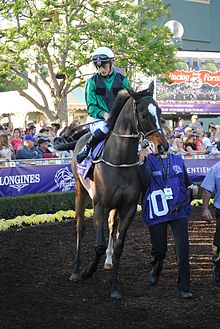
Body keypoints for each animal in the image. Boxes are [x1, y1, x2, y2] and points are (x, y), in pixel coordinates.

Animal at [53, 81, 168, 298]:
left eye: (159, 111)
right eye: (142, 115)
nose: (163, 146)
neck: (119, 160)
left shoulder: (128, 207)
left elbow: (119, 245)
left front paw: (114, 288)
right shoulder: (99, 204)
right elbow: (97, 244)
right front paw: (87, 271)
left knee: (111, 226)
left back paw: (107, 261)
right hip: (80, 192)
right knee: (80, 228)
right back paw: (76, 270)